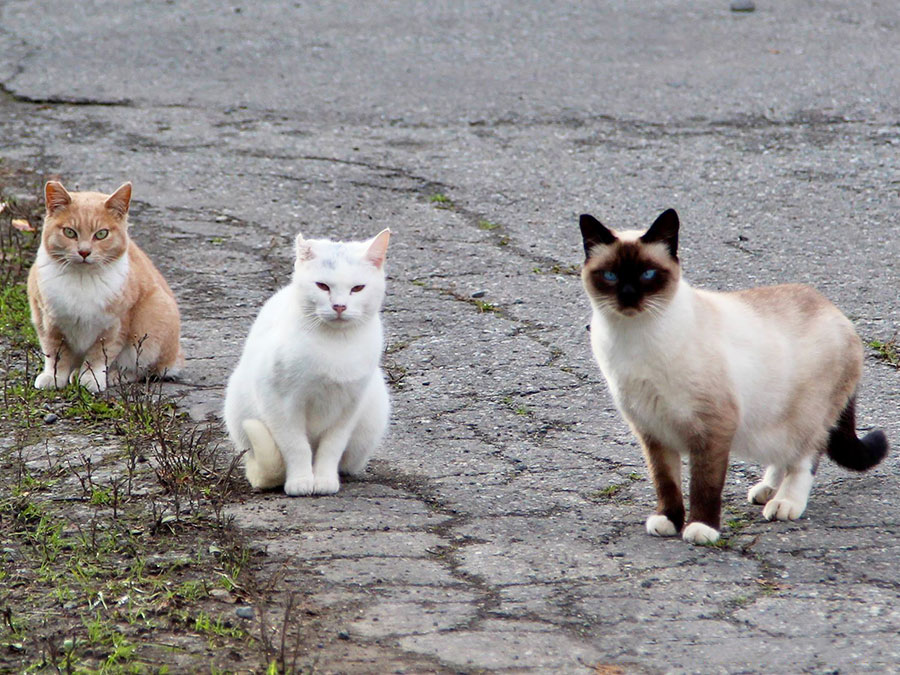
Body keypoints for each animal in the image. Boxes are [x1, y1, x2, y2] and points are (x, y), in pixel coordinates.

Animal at [26, 181, 182, 390]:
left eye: (101, 234)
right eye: (69, 232)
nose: (84, 252)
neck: (82, 280)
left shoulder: (114, 325)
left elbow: (99, 356)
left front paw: (91, 378)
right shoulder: (48, 322)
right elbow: (55, 353)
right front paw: (54, 376)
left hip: (154, 319)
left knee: (141, 370)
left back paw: (114, 376)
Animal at [224, 228, 390, 496]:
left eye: (357, 288)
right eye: (322, 286)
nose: (339, 306)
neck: (335, 345)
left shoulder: (349, 407)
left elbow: (331, 447)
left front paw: (324, 479)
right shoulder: (279, 403)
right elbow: (296, 445)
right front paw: (300, 481)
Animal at [584, 209, 884, 548]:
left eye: (648, 274)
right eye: (610, 276)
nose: (628, 296)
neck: (633, 338)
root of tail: (838, 313)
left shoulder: (713, 427)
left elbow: (704, 485)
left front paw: (701, 529)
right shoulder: (652, 430)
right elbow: (666, 482)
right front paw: (669, 521)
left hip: (806, 417)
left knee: (805, 458)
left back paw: (785, 502)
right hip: (771, 422)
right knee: (783, 456)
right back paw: (767, 490)